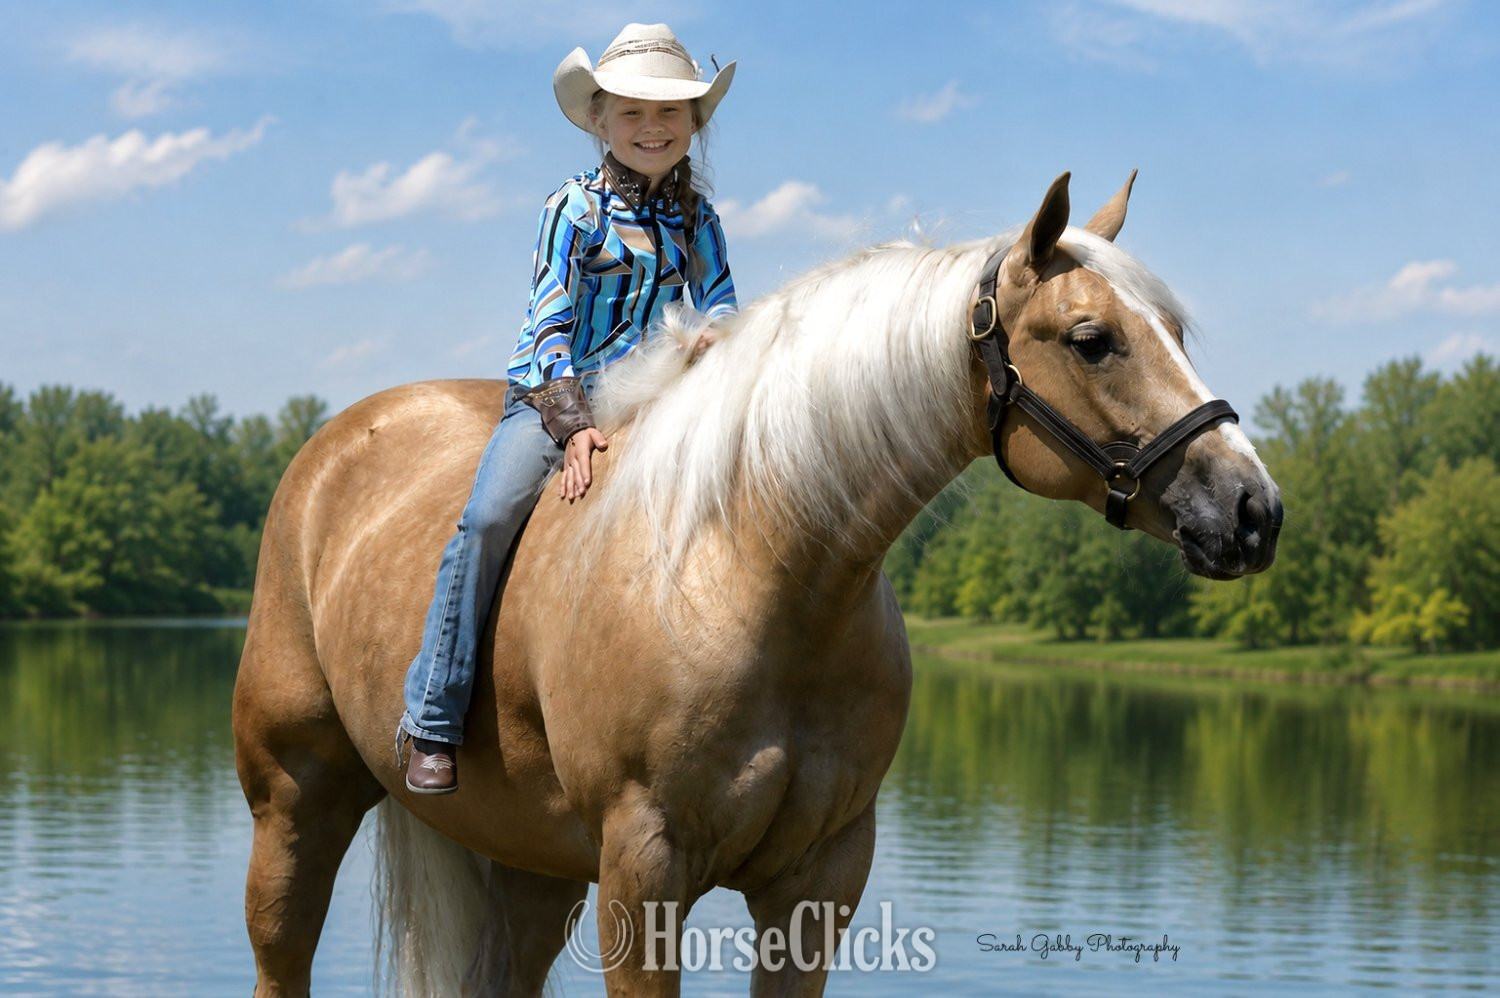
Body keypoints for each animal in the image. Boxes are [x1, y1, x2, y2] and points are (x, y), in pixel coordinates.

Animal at [231, 172, 1282, 996]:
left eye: (1174, 329)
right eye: (1093, 338)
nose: (1254, 510)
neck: (754, 571)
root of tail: (329, 451)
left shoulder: (819, 882)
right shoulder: (643, 874)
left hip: (529, 864)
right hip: (296, 806)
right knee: (280, 955)